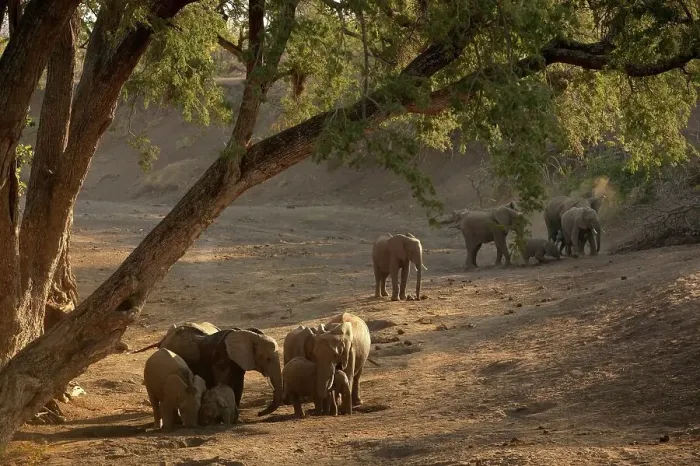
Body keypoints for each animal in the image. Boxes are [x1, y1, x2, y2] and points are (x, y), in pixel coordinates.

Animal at [133, 322, 282, 417]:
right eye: (268, 359)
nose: (259, 413)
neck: (247, 334)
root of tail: (163, 339)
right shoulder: (222, 358)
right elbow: (224, 384)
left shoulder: (238, 363)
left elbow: (239, 385)